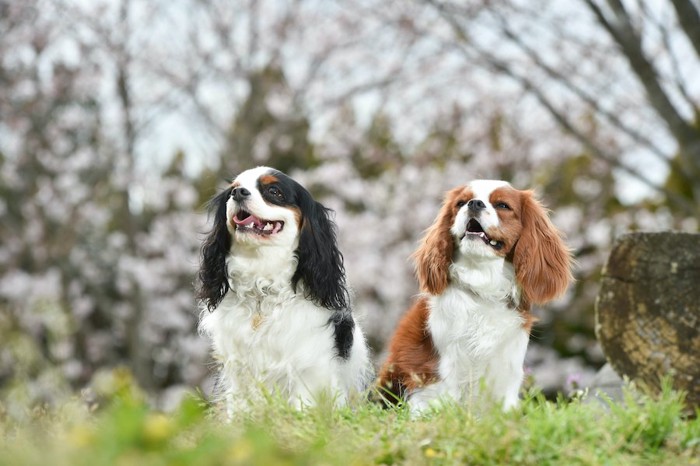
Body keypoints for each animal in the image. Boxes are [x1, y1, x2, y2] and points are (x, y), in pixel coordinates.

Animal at [197, 167, 372, 412]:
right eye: (232, 190)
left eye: (274, 191)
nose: (238, 193)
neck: (262, 289)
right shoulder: (238, 374)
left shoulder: (307, 372)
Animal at [378, 180, 568, 414]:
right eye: (460, 203)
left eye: (503, 205)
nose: (474, 203)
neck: (482, 281)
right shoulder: (438, 367)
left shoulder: (507, 366)